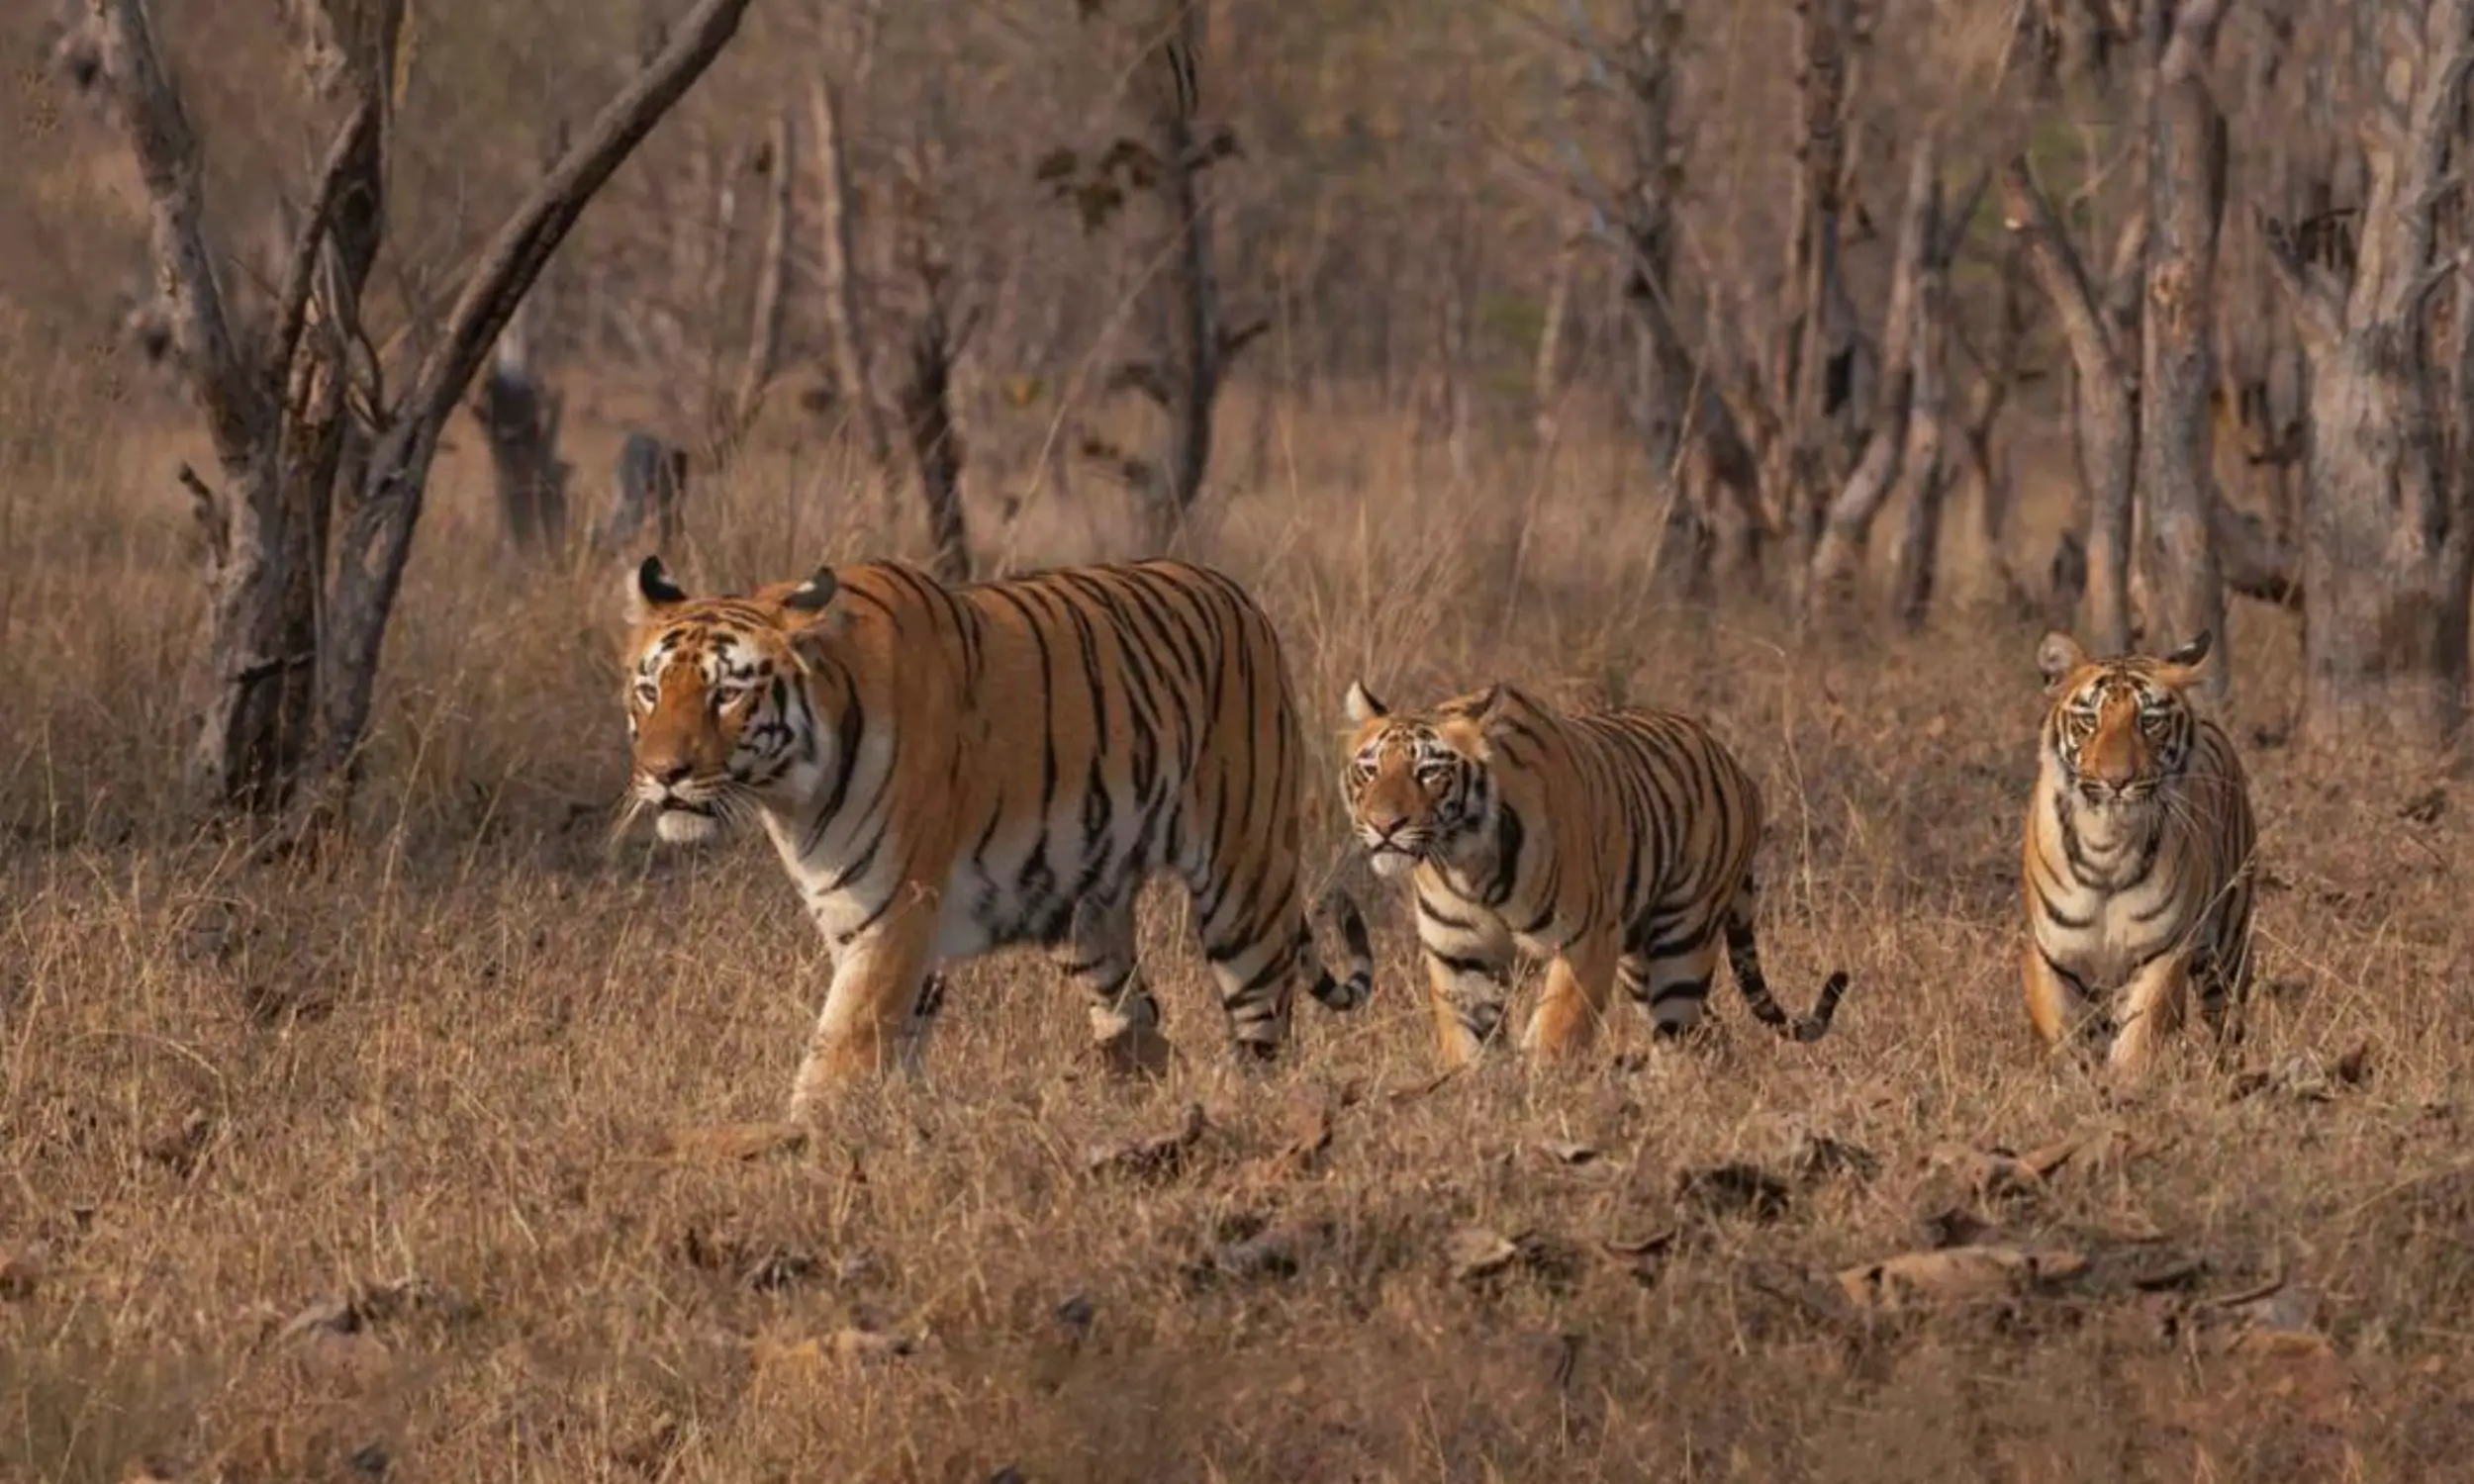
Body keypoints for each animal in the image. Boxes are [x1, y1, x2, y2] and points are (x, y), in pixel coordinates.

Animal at [619, 554, 1375, 1122]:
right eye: (650, 691)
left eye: (726, 695)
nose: (662, 773)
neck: (791, 793)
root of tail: (1239, 596)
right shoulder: (862, 923)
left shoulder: (894, 919)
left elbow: (839, 1054)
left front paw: (800, 1150)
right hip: (1087, 913)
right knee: (1141, 1020)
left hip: (1246, 885)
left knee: (1263, 1033)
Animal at [1338, 680, 1851, 1067]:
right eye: (1369, 771)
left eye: (1428, 772)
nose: (1385, 825)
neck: (1465, 862)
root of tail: (1739, 771)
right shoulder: (1457, 954)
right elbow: (1467, 1045)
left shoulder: (1584, 943)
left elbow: (1554, 1034)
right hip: (1640, 963)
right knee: (1709, 1033)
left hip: (1681, 941)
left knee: (1682, 1033)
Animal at [2022, 628, 2258, 1079]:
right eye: (2089, 720)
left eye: (2149, 721)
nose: (2117, 781)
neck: (2108, 846)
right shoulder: (2053, 956)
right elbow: (2066, 1043)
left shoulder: (2164, 953)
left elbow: (2139, 1037)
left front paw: (2125, 1085)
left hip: (2227, 948)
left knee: (2227, 1026)